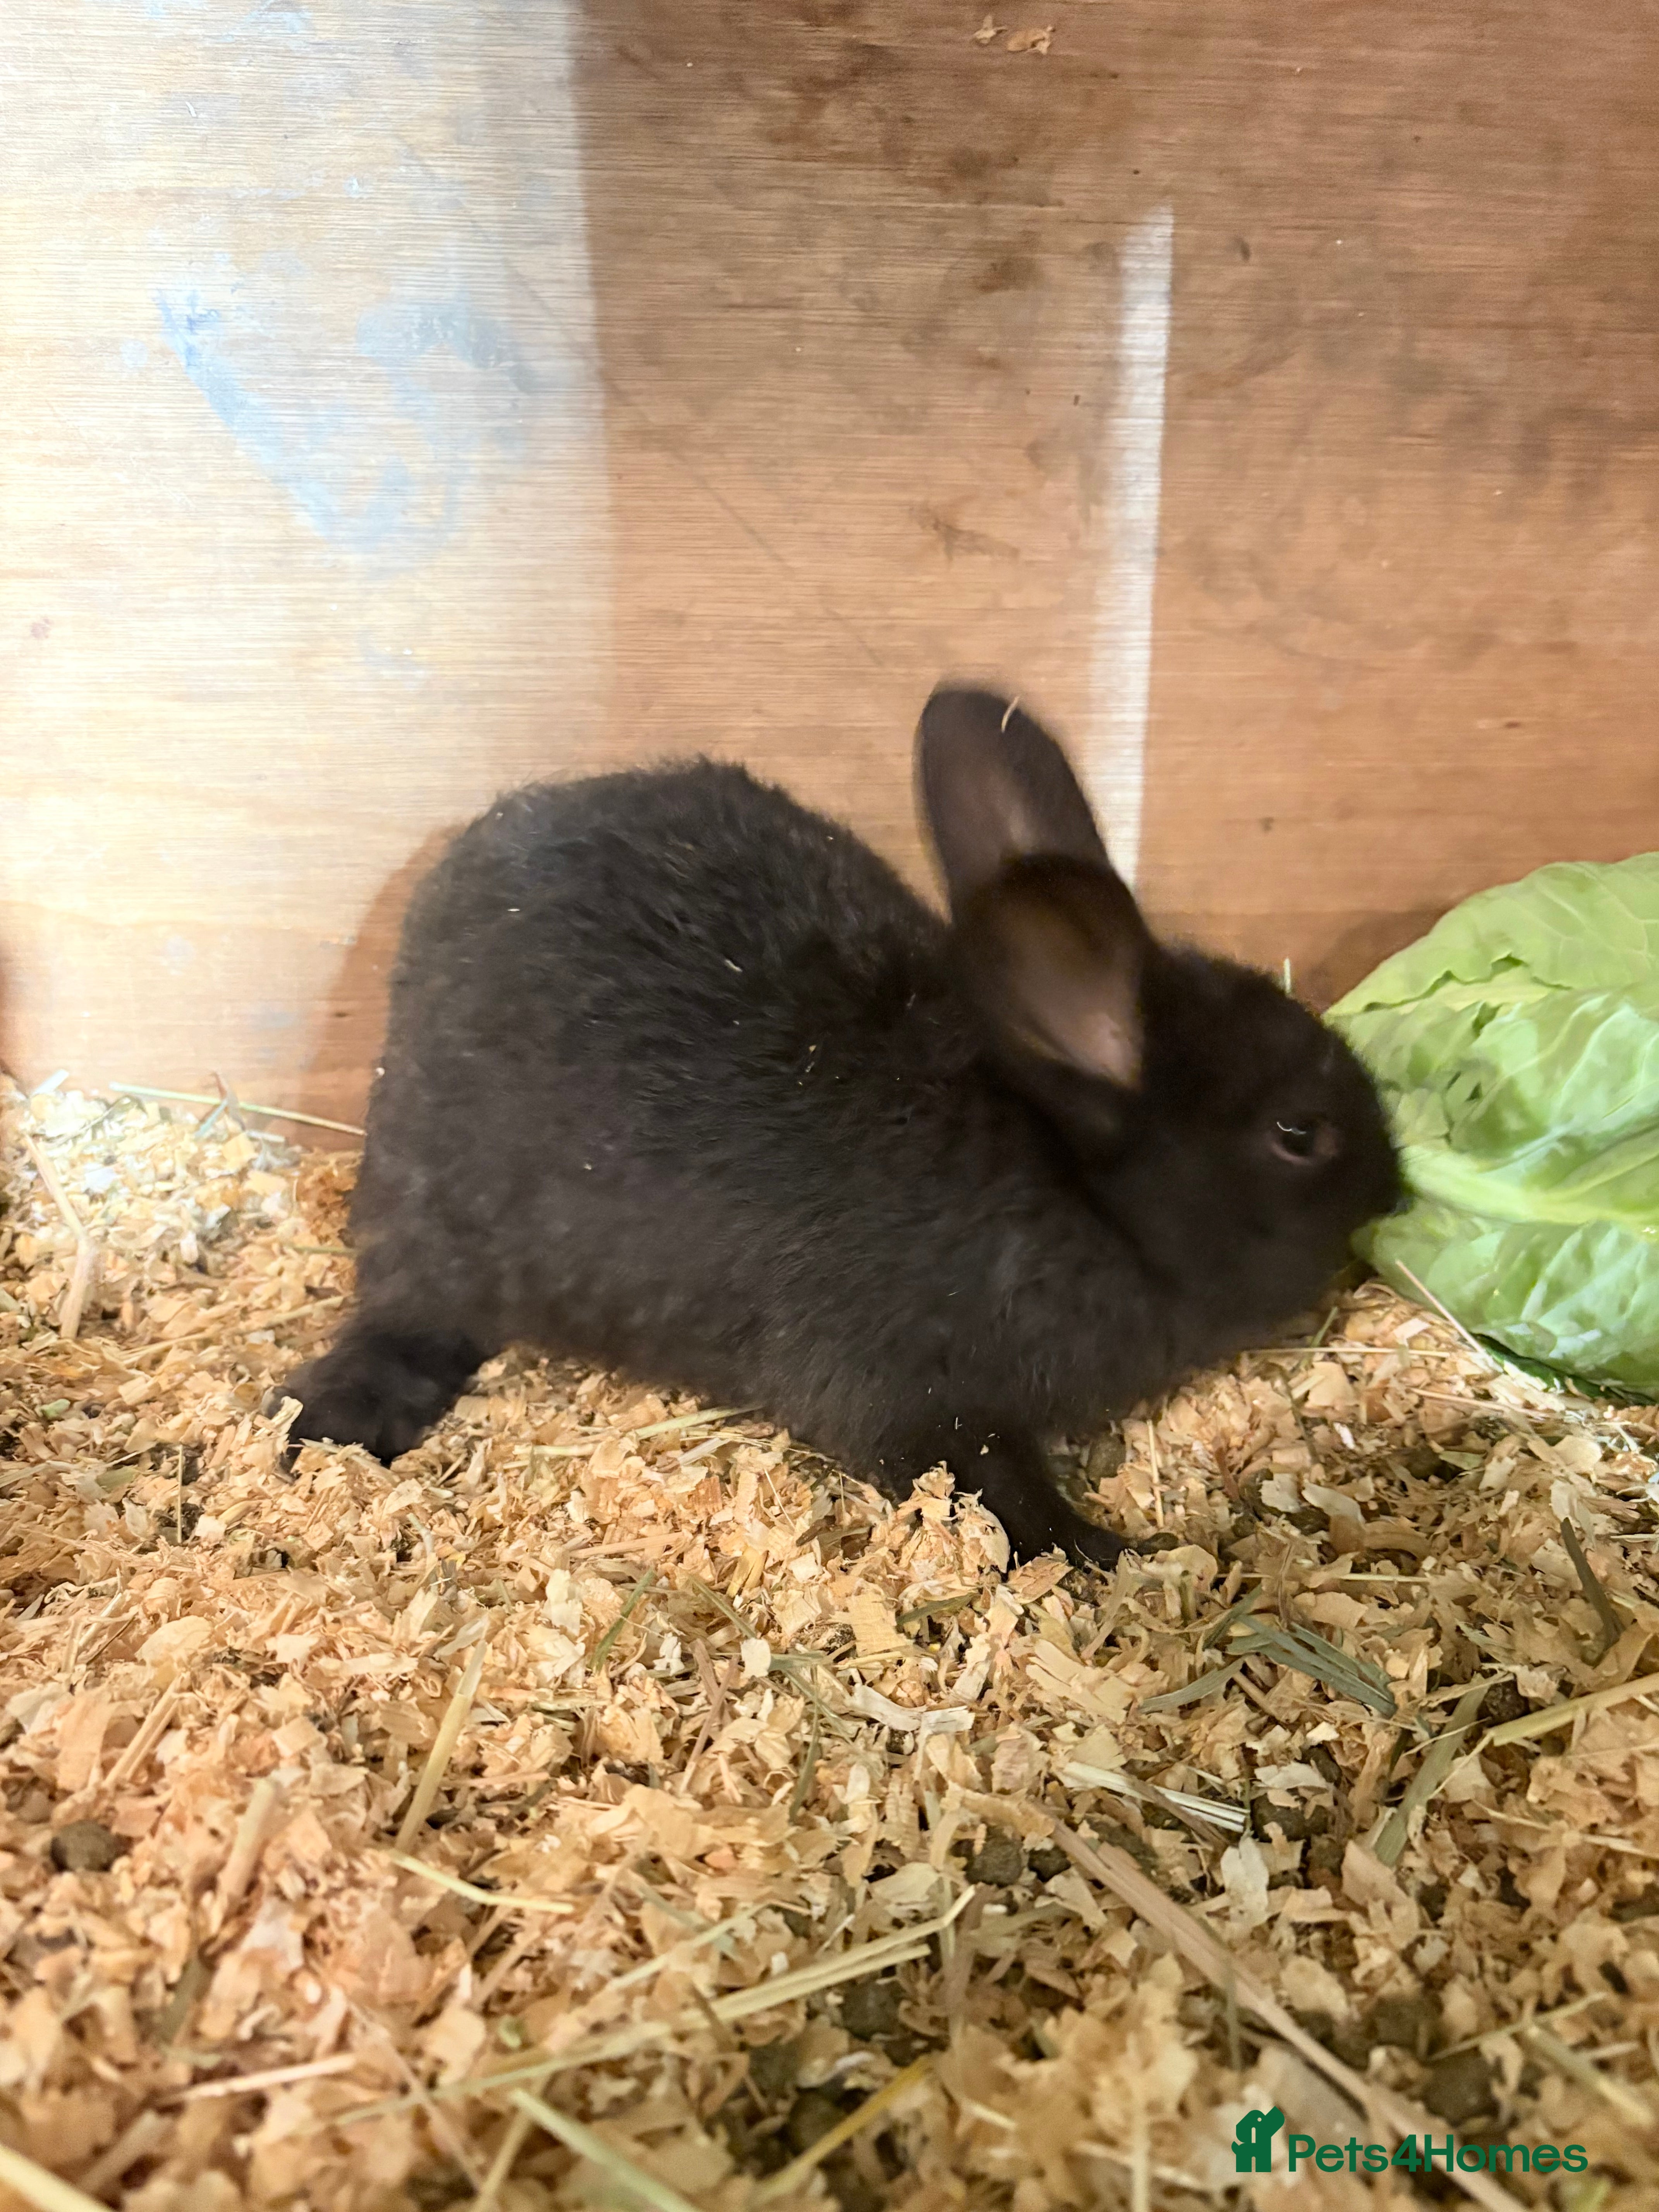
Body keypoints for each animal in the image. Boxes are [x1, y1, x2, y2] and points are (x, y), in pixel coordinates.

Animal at [282, 686, 1401, 1568]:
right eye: (1299, 1133)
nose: (1394, 1190)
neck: (1074, 1195)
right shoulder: (912, 1398)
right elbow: (993, 1495)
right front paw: (1110, 1554)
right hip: (445, 1230)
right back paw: (321, 1427)